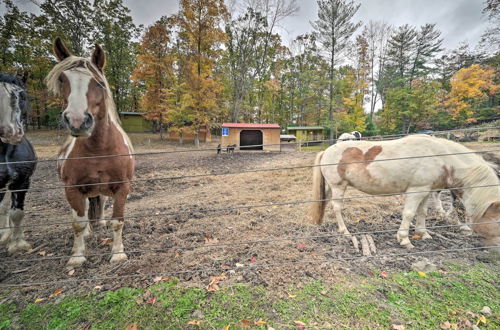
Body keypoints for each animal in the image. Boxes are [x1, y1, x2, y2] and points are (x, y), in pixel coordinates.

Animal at [47, 37, 135, 270]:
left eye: (99, 83)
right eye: (62, 79)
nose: (78, 121)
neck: (98, 150)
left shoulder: (122, 186)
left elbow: (117, 221)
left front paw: (118, 253)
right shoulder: (72, 188)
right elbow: (77, 224)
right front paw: (77, 257)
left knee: (100, 203)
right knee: (83, 211)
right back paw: (87, 233)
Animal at [310, 134, 498, 248]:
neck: (440, 157)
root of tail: (326, 151)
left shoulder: (426, 191)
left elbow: (422, 212)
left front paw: (423, 233)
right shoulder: (415, 191)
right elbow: (408, 214)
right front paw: (404, 239)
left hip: (331, 187)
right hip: (338, 186)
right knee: (337, 208)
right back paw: (345, 232)